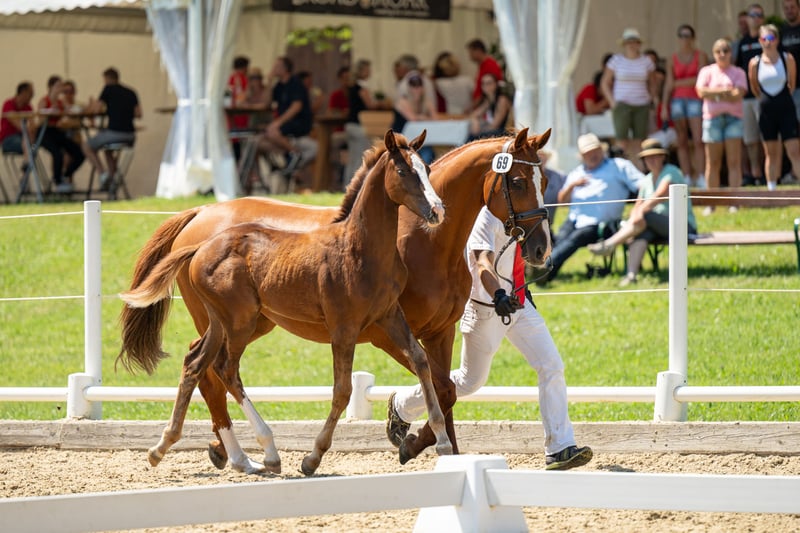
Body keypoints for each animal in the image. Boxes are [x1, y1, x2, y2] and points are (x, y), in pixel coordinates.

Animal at [118, 127, 552, 470]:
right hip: (235, 320)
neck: (424, 240)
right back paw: (247, 452)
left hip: (245, 321)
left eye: (544, 181)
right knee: (215, 370)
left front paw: (438, 447)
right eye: (516, 181)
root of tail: (200, 212)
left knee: (199, 363)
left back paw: (222, 451)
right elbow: (427, 386)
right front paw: (405, 439)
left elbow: (443, 387)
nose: (540, 249)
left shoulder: (437, 330)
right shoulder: (376, 332)